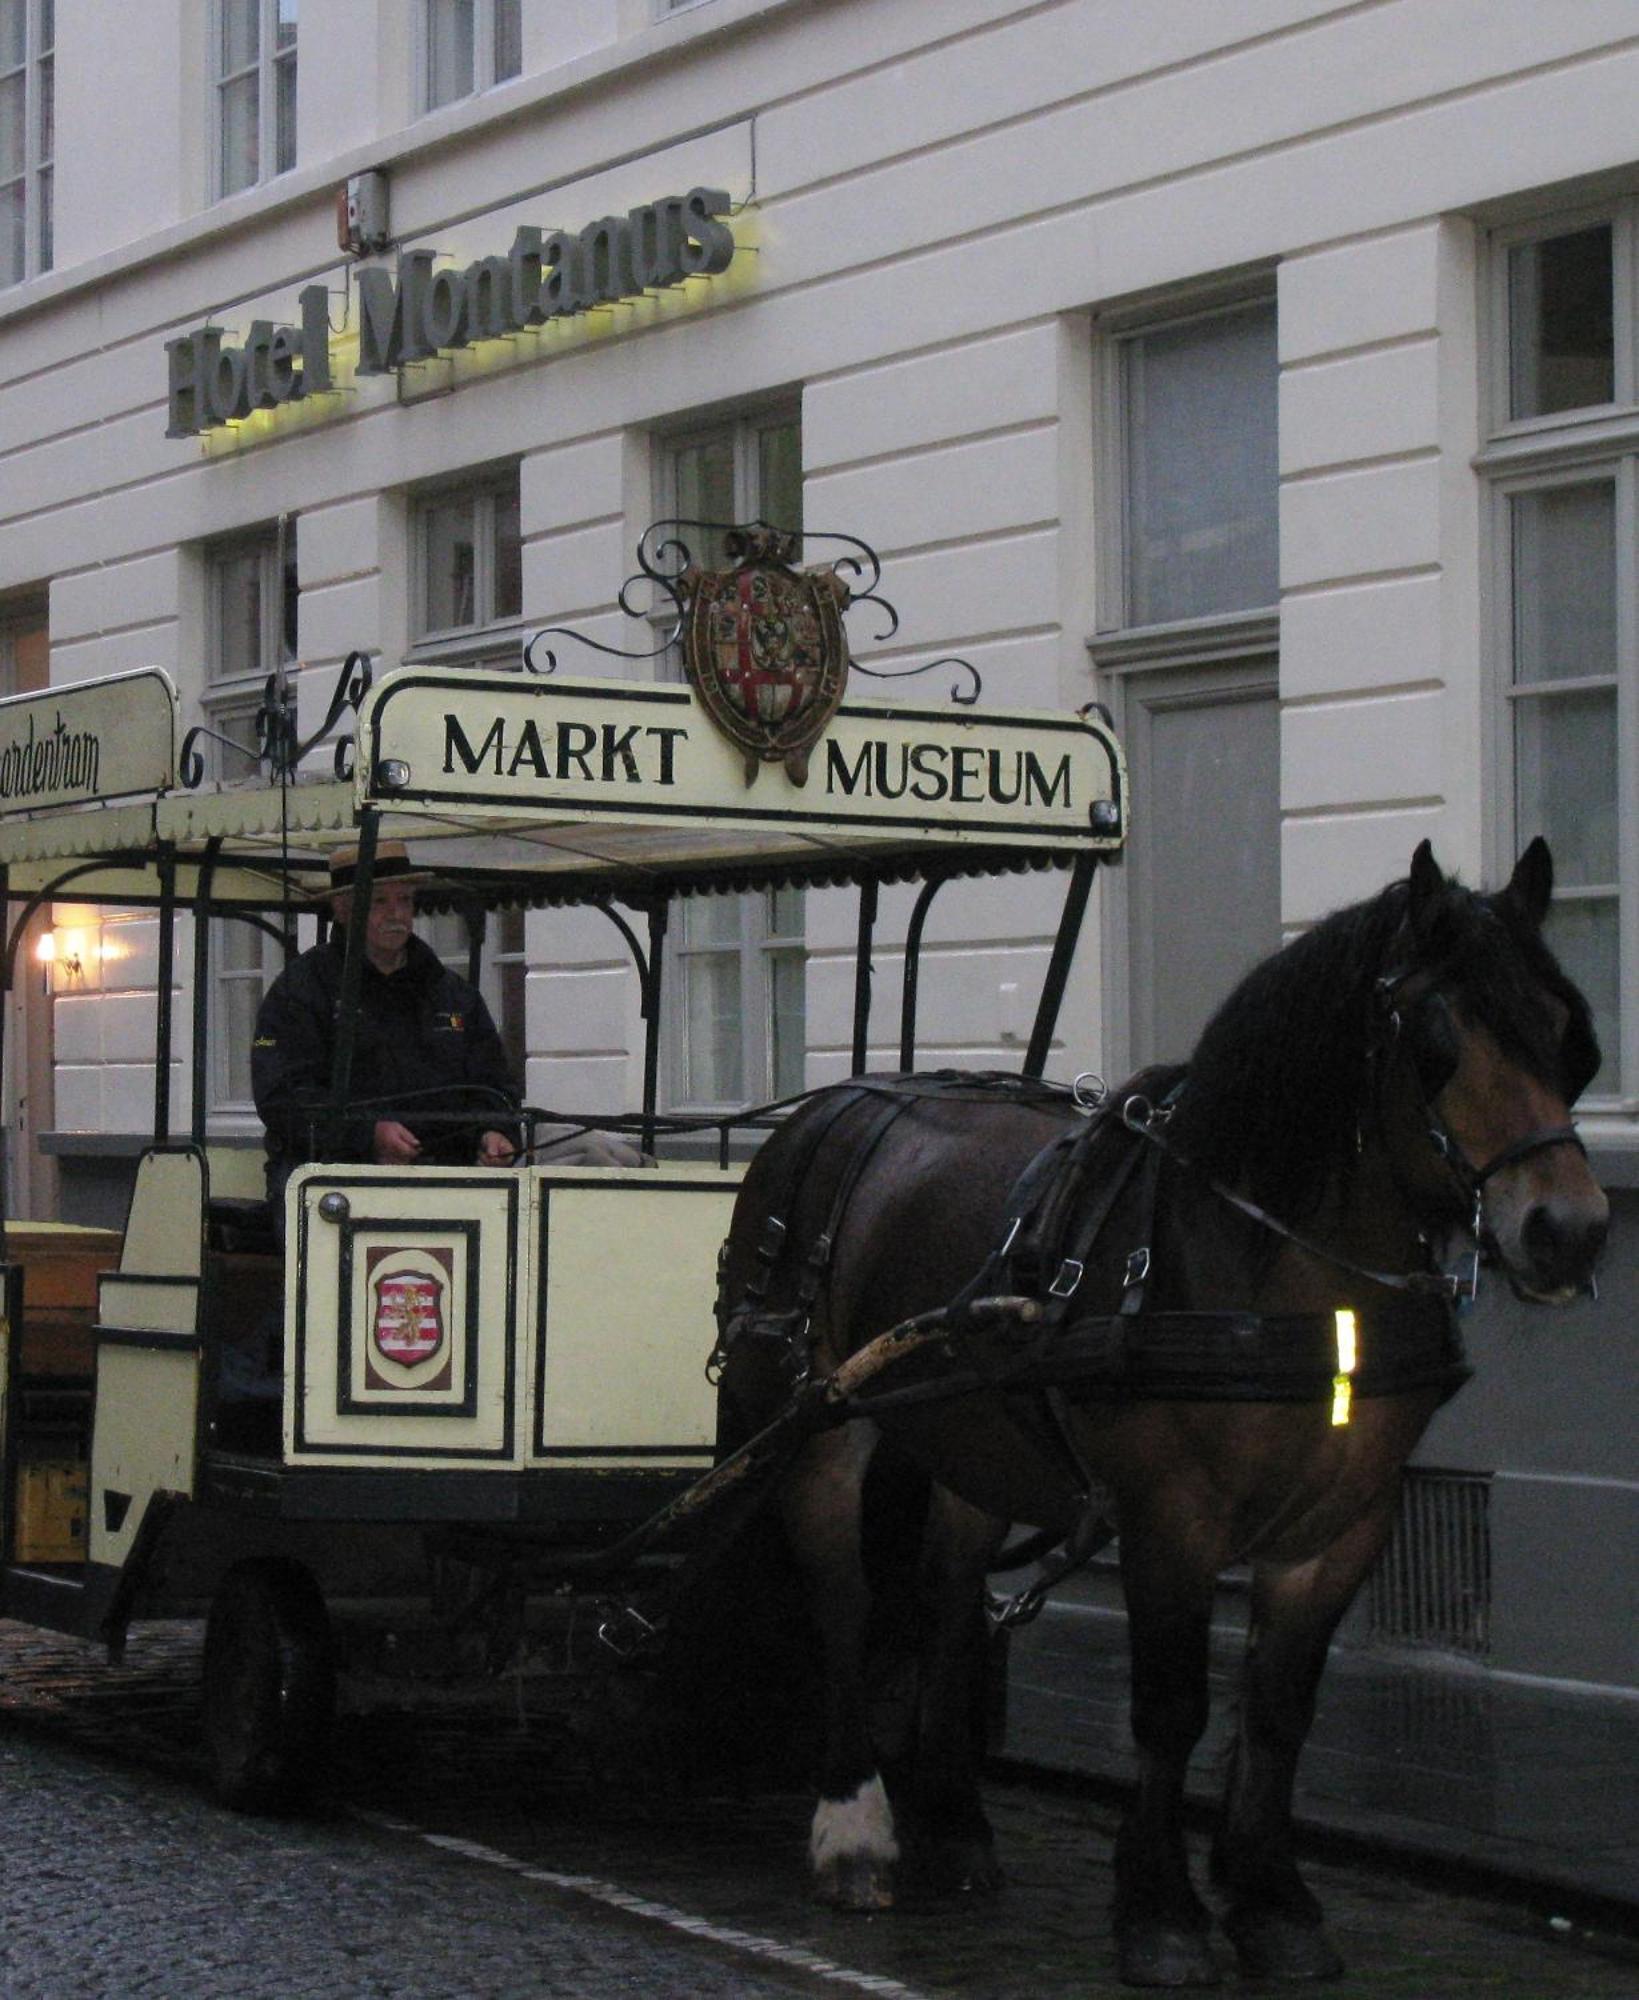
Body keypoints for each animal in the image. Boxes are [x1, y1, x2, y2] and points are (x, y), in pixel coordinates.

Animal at [715, 840, 1599, 1984]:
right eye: (1435, 1043)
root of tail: (825, 1107)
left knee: (946, 1599)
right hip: (817, 1420)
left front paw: (1271, 1901)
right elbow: (1171, 1706)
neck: (1279, 1276)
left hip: (973, 1441)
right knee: (843, 1598)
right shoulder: (1170, 1515)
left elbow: (1278, 1708)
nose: (1569, 1230)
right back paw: (854, 1826)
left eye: (1567, 1032)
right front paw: (1161, 1912)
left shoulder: (1345, 1524)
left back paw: (955, 1824)